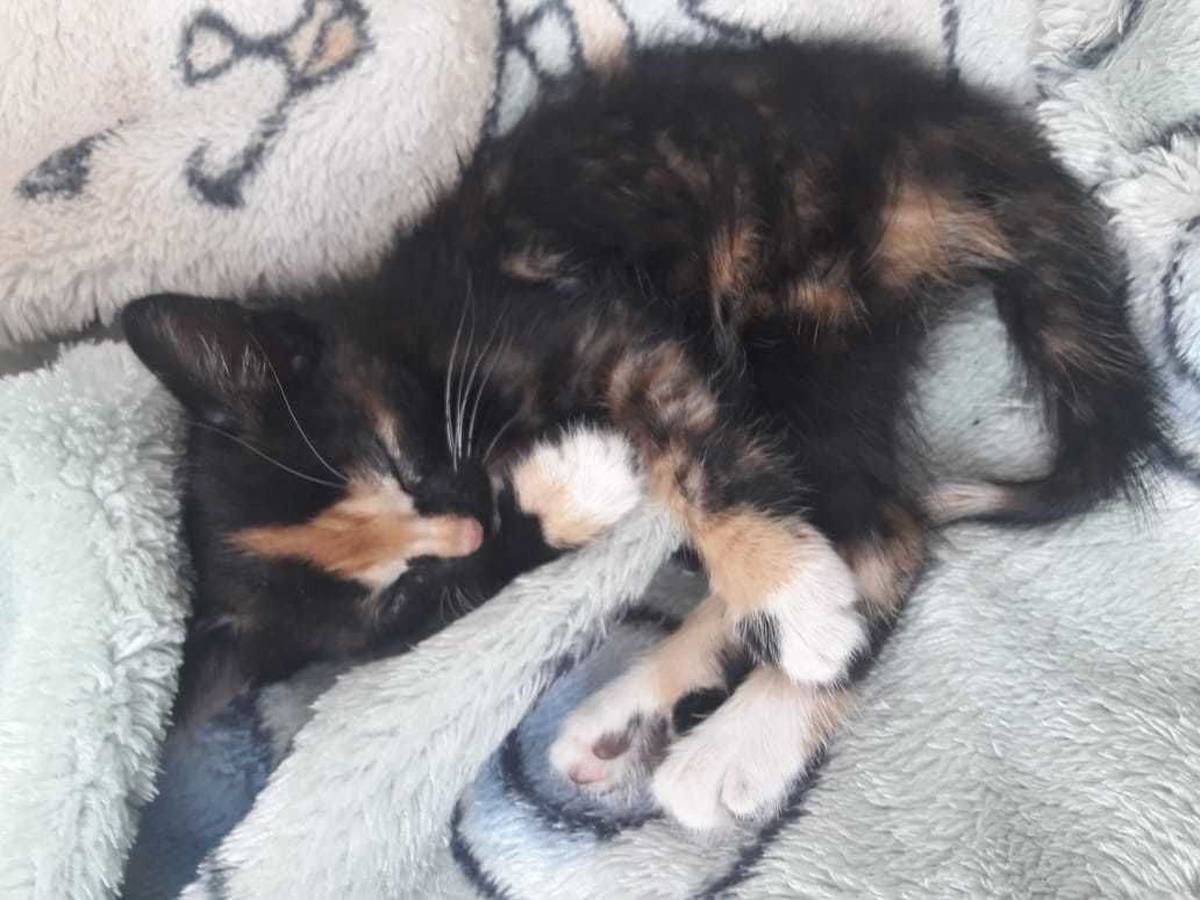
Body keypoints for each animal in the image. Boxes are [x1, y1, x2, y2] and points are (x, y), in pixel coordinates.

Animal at [123, 38, 1161, 828]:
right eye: (400, 599)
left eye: (396, 459)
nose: (458, 518)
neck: (399, 333)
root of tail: (955, 127)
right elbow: (516, 553)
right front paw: (575, 487)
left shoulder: (576, 318)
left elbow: (686, 450)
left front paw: (786, 591)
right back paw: (637, 718)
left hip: (805, 298)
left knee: (884, 528)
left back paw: (750, 719)